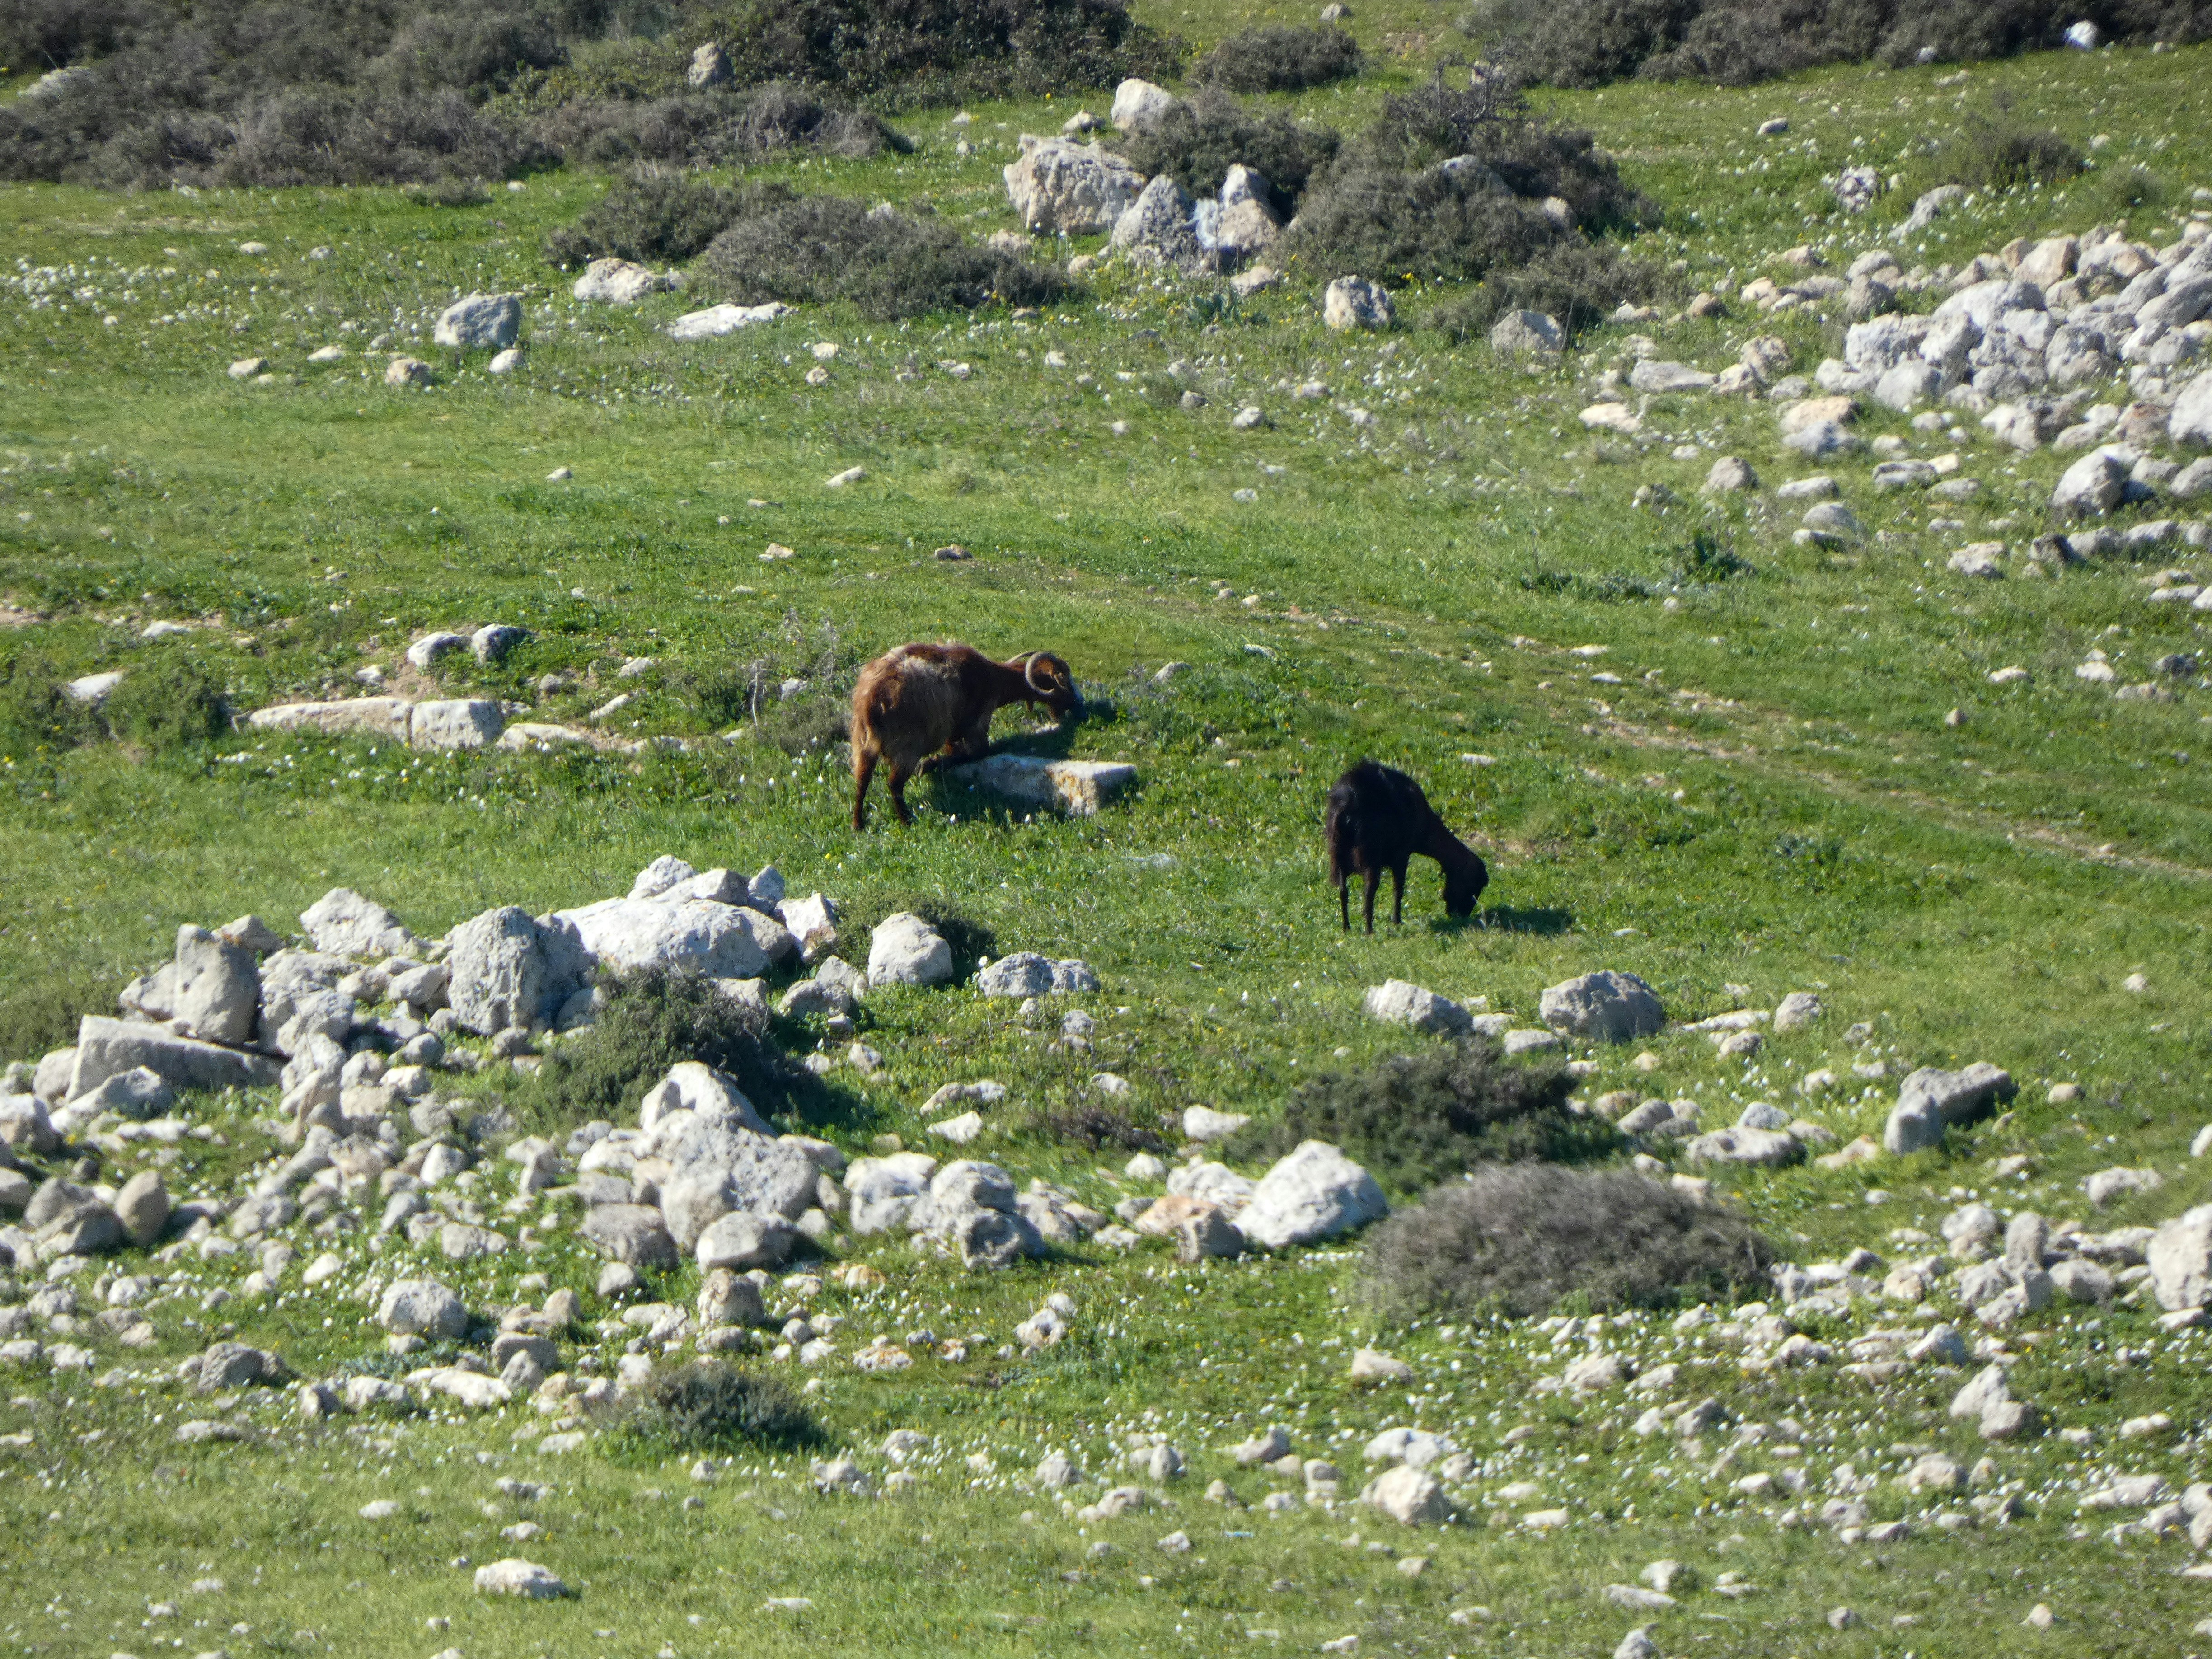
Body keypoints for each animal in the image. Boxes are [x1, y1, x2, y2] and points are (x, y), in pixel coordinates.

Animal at [850, 642, 1080, 828]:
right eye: (1065, 681)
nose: (1081, 709)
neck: (994, 679)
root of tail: (873, 699)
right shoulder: (975, 726)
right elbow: (978, 753)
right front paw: (929, 765)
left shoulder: (953, 734)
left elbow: (955, 751)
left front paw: (933, 763)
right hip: (906, 746)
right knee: (894, 784)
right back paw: (907, 821)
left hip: (862, 743)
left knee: (861, 781)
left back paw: (858, 824)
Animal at [1323, 759, 1488, 932]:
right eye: (1475, 886)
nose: (1462, 915)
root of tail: (1345, 803)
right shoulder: (1402, 855)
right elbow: (1399, 889)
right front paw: (1397, 921)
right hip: (1369, 855)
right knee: (1369, 892)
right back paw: (1369, 931)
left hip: (1337, 853)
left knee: (1343, 891)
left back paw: (1346, 927)